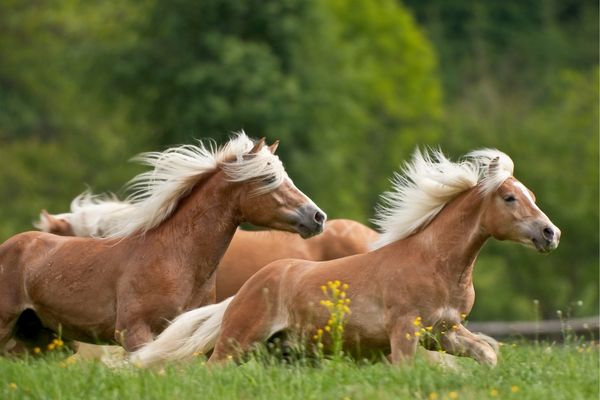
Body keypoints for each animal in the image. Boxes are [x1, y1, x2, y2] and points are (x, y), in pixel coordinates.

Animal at [132, 148, 564, 368]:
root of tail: (242, 293)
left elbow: (487, 353)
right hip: (237, 344)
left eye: (531, 196)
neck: (435, 263)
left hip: (284, 352)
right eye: (509, 197)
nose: (551, 234)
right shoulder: (405, 333)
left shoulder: (444, 331)